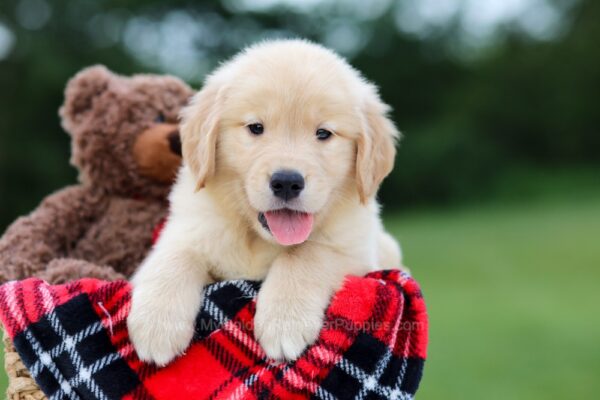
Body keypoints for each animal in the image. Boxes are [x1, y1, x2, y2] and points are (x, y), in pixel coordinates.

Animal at [127, 38, 404, 366]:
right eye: (256, 127)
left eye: (323, 133)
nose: (287, 182)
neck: (258, 240)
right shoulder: (189, 227)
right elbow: (175, 257)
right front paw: (156, 325)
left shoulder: (356, 251)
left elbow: (306, 254)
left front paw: (284, 321)